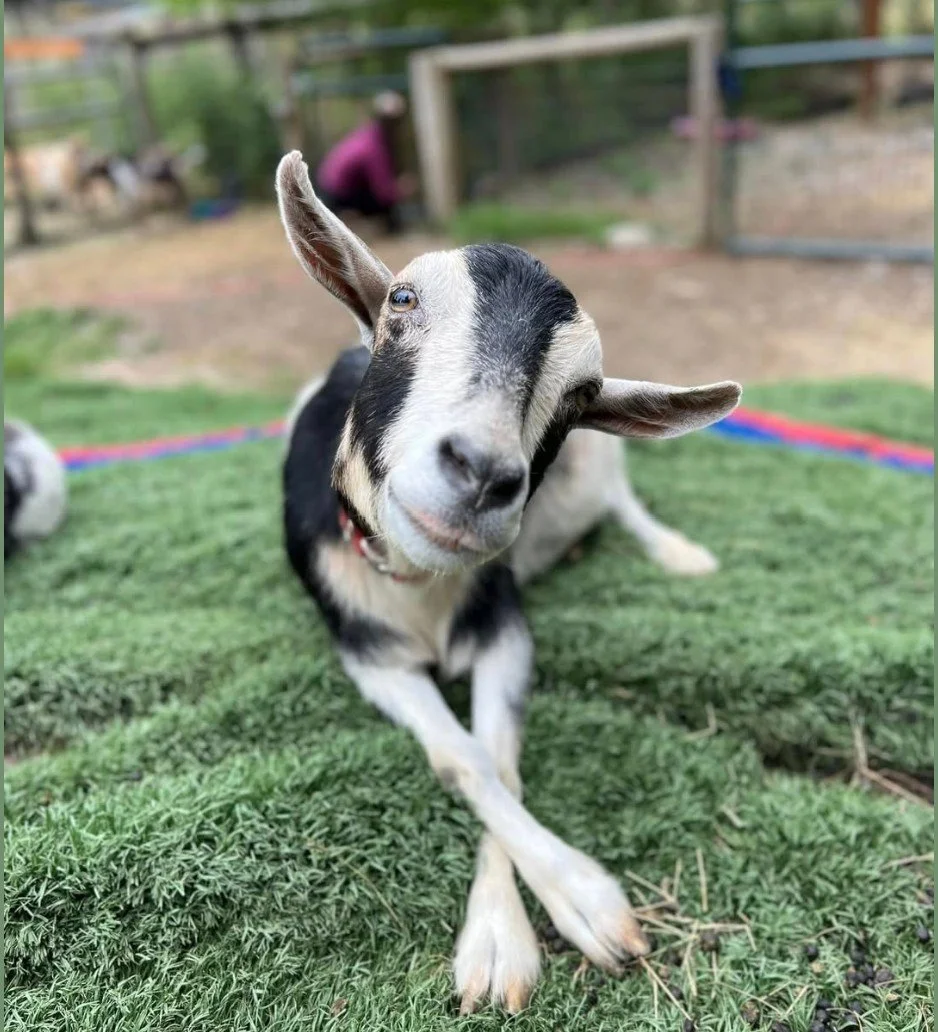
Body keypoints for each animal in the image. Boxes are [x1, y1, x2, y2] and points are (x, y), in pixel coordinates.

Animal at [276, 151, 741, 1012]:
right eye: (402, 299)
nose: (484, 473)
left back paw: (678, 553)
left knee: (624, 503)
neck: (419, 585)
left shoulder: (505, 628)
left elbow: (496, 753)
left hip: (606, 466)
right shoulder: (365, 652)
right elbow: (462, 758)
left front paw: (546, 921)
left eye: (583, 394)